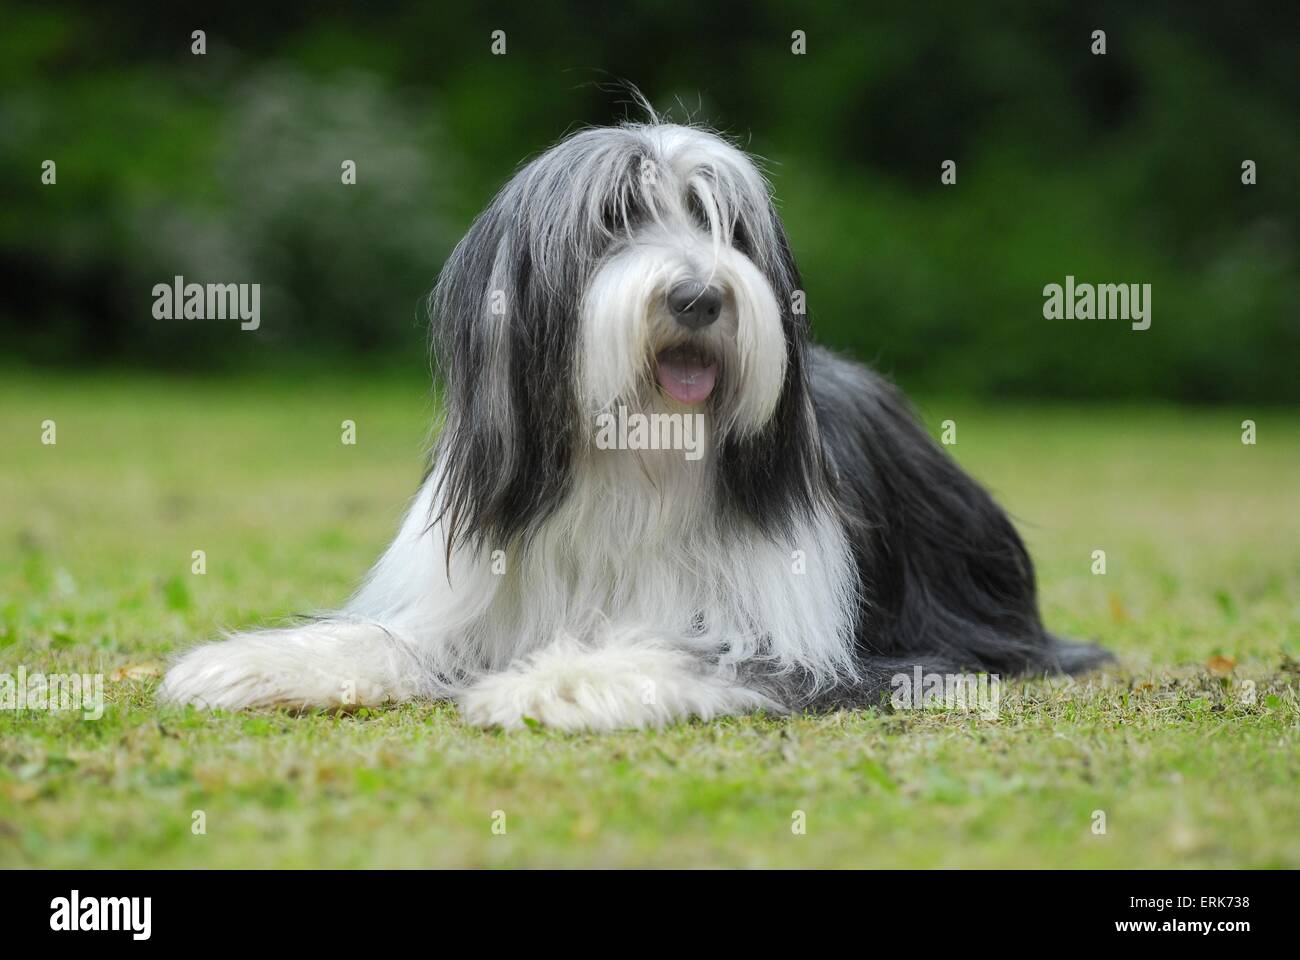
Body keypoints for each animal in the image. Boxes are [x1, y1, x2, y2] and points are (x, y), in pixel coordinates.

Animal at [157, 121, 1112, 733]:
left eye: (727, 226)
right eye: (613, 219)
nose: (699, 297)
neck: (636, 460)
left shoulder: (810, 648)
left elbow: (688, 652)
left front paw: (556, 683)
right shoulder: (461, 599)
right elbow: (389, 639)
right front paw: (259, 663)